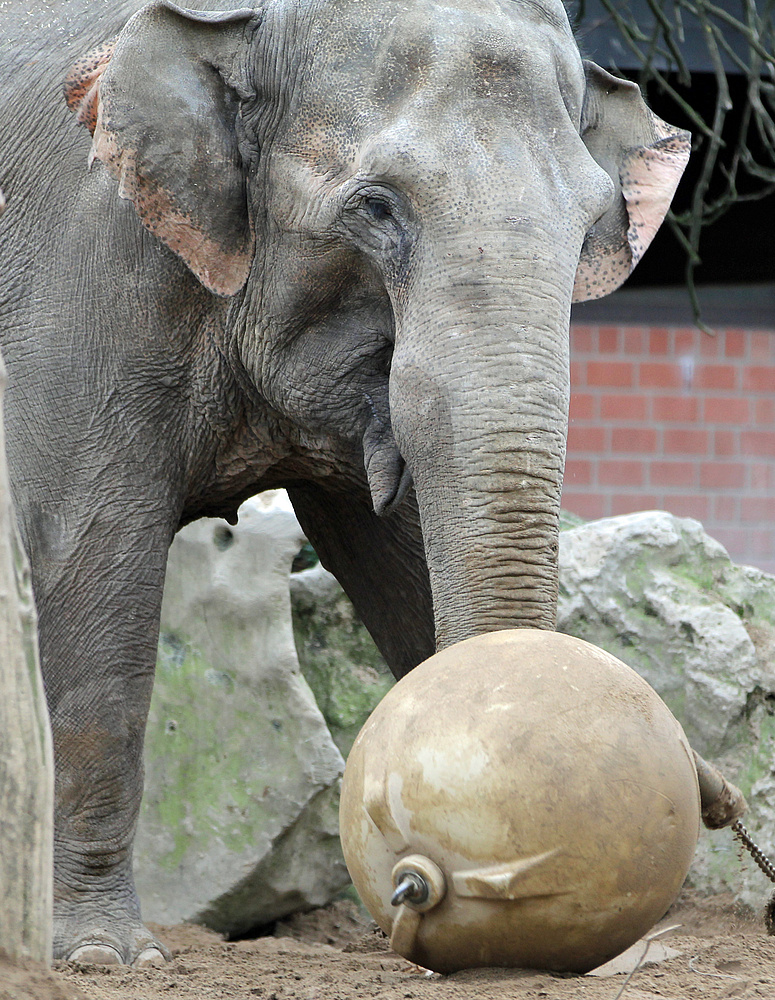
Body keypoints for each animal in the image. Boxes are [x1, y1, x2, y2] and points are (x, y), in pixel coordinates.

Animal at [0, 0, 692, 972]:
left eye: (594, 217)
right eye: (375, 207)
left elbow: (404, 566)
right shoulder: (84, 284)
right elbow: (92, 555)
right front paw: (105, 956)